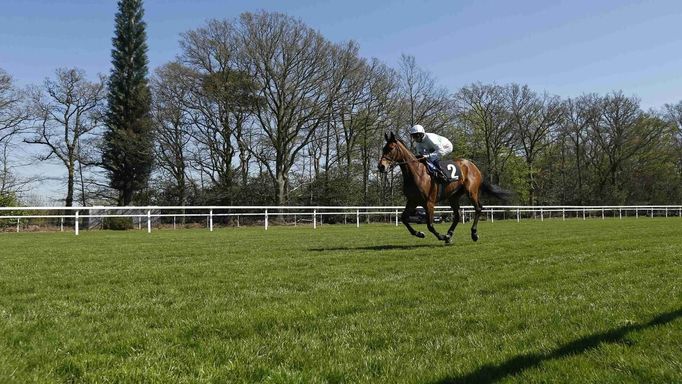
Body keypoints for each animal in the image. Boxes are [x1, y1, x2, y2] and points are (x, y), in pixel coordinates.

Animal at [378, 132, 510, 244]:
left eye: (391, 148)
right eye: (383, 148)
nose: (381, 166)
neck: (416, 173)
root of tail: (473, 165)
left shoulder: (429, 202)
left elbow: (430, 225)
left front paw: (440, 236)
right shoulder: (412, 201)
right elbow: (404, 218)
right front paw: (420, 233)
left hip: (471, 191)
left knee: (478, 208)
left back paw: (473, 234)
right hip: (453, 196)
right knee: (457, 215)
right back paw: (449, 235)